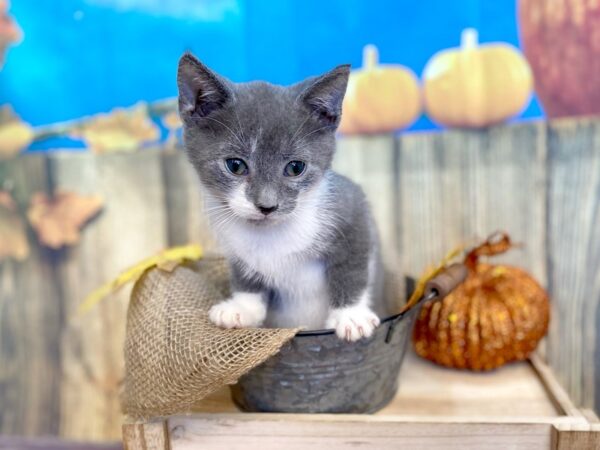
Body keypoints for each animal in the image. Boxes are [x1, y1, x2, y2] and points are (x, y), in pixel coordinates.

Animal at [177, 52, 384, 342]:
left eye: (296, 168)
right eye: (235, 165)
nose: (267, 206)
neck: (272, 235)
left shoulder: (352, 208)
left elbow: (353, 266)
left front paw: (350, 315)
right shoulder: (235, 246)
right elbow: (245, 275)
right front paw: (242, 308)